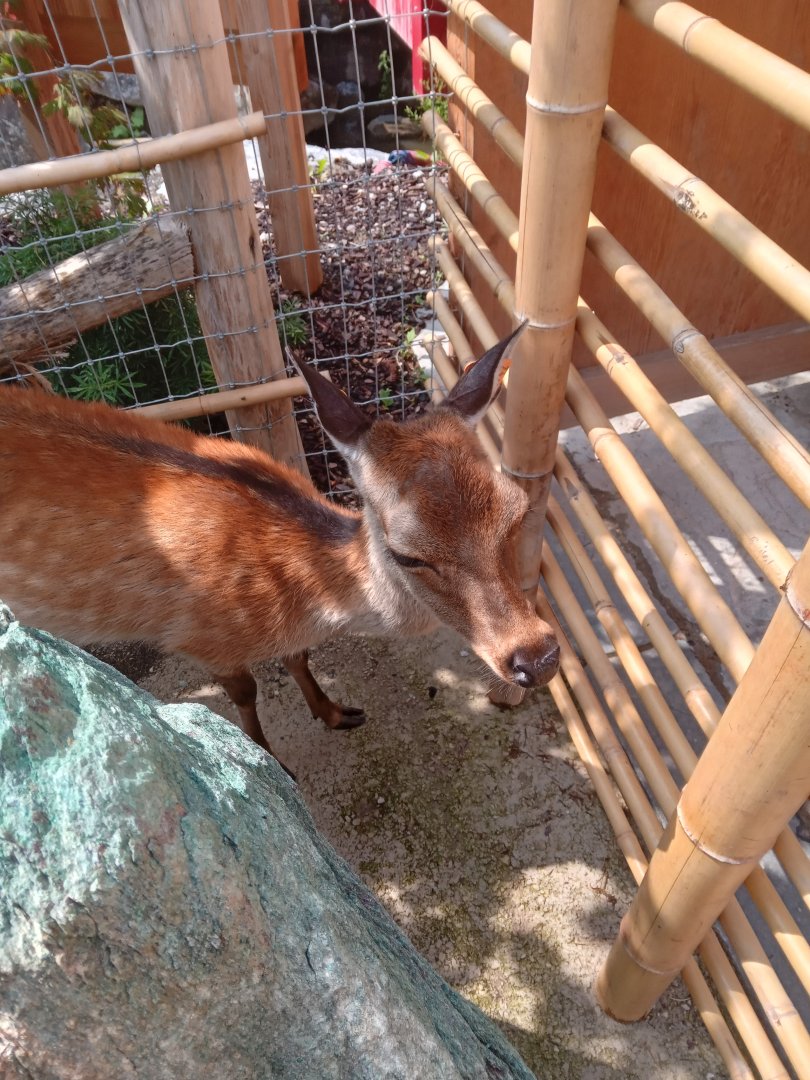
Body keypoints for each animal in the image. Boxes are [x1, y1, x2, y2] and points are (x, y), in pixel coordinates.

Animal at [0, 324, 560, 775]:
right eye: (408, 555)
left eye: (516, 511)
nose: (539, 657)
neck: (296, 599)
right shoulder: (202, 639)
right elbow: (247, 694)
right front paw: (272, 761)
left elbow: (298, 657)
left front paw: (336, 713)